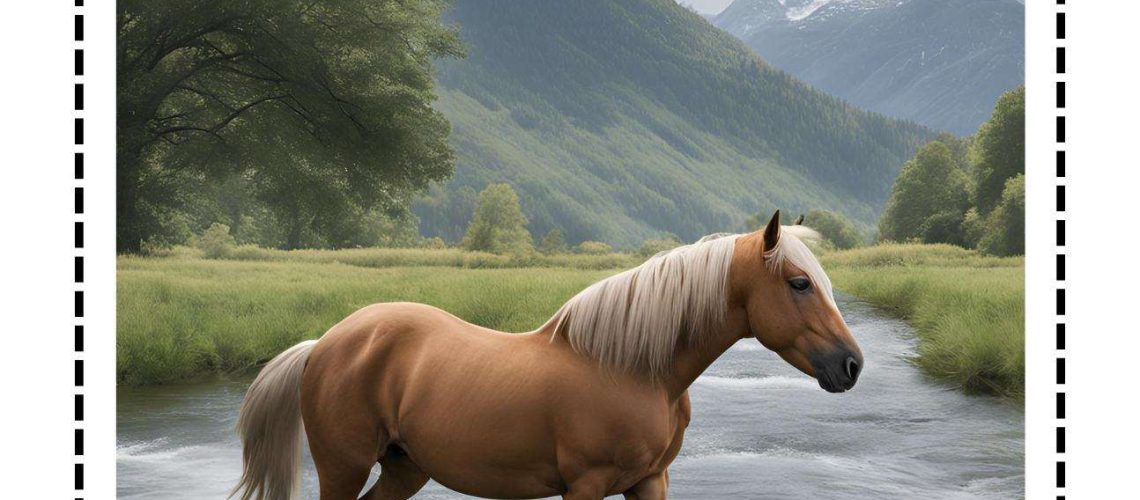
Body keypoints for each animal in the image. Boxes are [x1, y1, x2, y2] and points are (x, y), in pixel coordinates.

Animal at [232, 210, 863, 500]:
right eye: (800, 283)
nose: (851, 365)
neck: (631, 369)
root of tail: (325, 344)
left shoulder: (650, 481)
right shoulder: (584, 486)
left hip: (404, 467)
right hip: (343, 467)